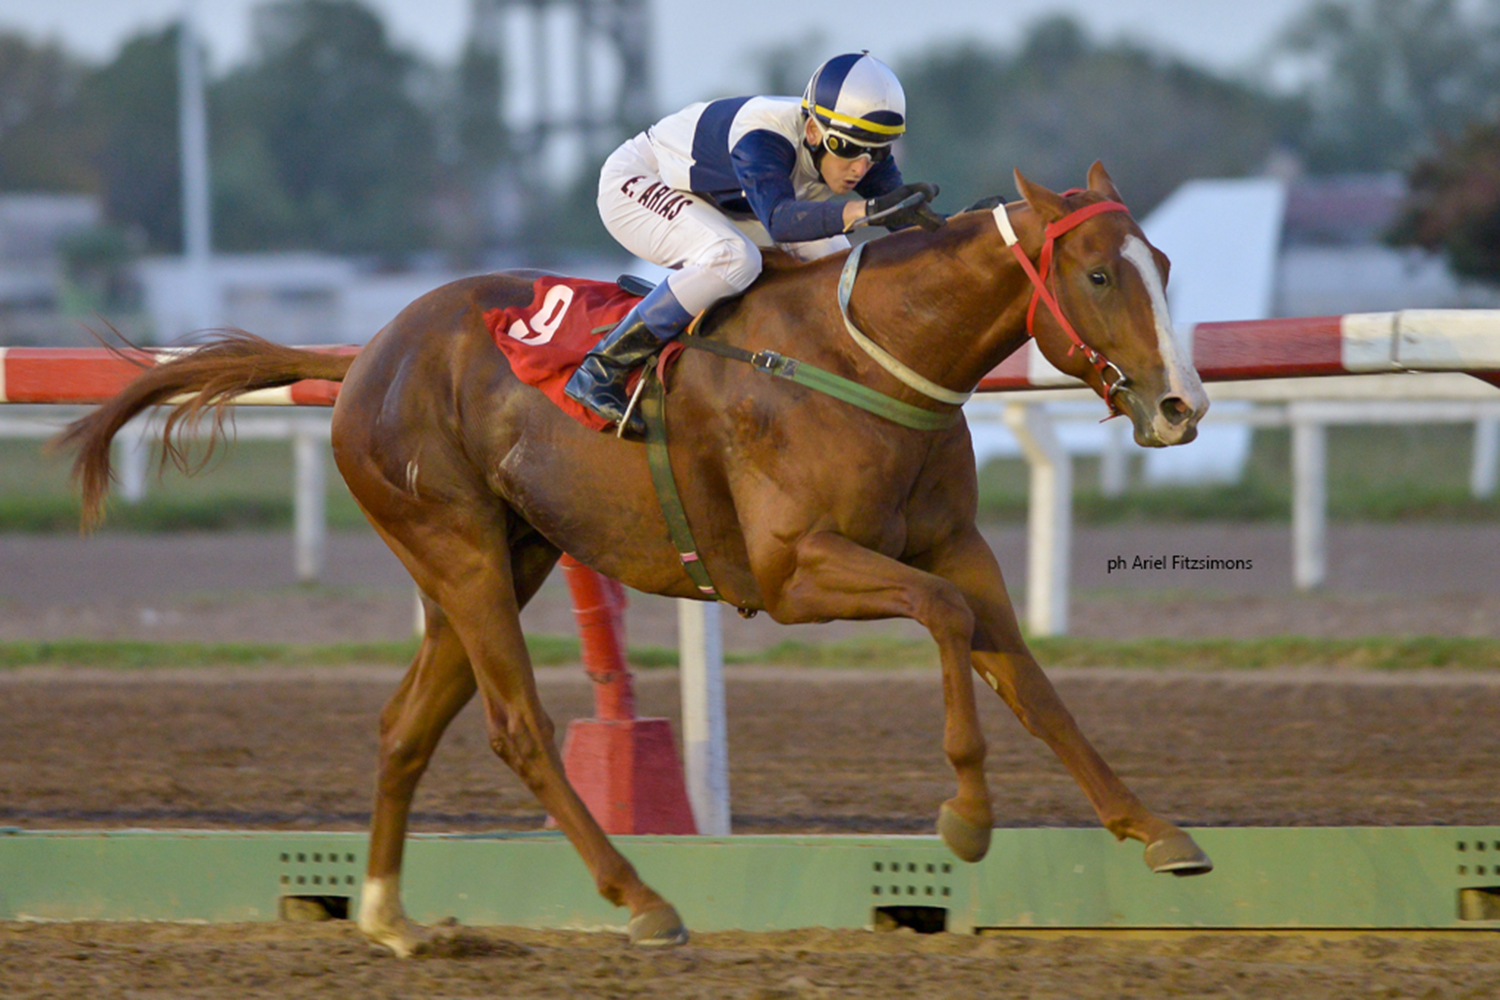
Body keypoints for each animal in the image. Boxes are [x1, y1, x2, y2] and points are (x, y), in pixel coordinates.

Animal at [56, 162, 1211, 954]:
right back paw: (644, 899)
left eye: (1164, 266)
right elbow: (944, 618)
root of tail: (364, 356)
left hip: (506, 555)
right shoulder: (795, 572)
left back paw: (391, 918)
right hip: (457, 549)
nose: (1181, 406)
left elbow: (1026, 675)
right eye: (1099, 272)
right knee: (519, 729)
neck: (868, 352)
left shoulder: (955, 545)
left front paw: (1157, 830)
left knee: (405, 727)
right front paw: (966, 818)